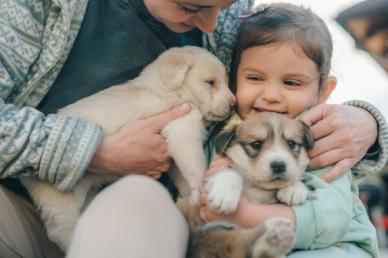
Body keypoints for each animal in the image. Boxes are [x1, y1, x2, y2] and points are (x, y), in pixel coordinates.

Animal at [183, 113, 314, 258]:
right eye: (256, 144)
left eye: (291, 143)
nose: (279, 165)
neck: (258, 187)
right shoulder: (208, 183)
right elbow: (231, 173)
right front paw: (225, 195)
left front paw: (294, 189)